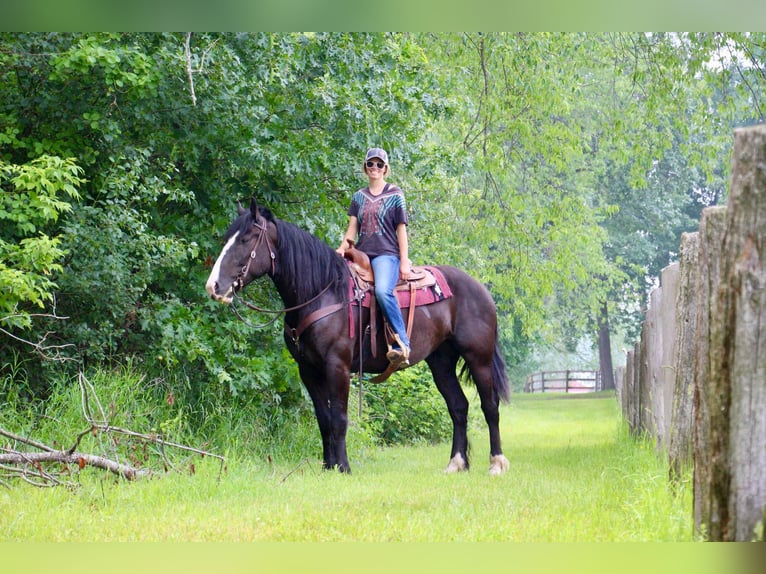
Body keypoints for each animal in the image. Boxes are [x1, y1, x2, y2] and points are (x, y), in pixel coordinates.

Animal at [207, 200, 512, 474]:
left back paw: (496, 463)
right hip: (441, 362)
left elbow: (340, 418)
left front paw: (343, 467)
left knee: (490, 406)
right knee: (458, 407)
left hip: (479, 358)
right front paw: (327, 466)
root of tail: (481, 289)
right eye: (226, 238)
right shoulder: (308, 370)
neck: (323, 292)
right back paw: (456, 463)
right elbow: (323, 419)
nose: (214, 286)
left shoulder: (337, 366)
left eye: (245, 239)